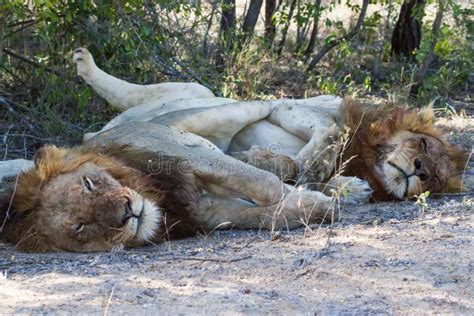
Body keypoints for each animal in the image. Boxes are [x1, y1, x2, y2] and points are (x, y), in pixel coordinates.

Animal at [0, 47, 466, 254]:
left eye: (436, 178)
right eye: (423, 144)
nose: (420, 169)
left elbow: (277, 193)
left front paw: (326, 191)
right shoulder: (293, 109)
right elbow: (312, 143)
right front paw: (309, 175)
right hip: (202, 100)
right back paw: (85, 63)